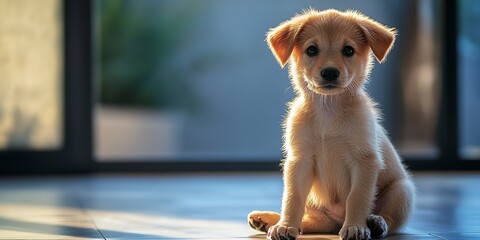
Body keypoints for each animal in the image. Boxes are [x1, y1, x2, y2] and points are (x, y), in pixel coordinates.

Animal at [249, 9, 414, 240]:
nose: (329, 72)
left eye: (348, 50)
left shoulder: (365, 160)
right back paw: (267, 220)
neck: (328, 110)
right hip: (316, 206)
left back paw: (376, 223)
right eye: (311, 49)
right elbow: (292, 198)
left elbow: (357, 197)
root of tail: (336, 222)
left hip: (402, 191)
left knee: (390, 218)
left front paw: (355, 226)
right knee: (312, 221)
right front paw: (286, 226)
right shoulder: (300, 161)